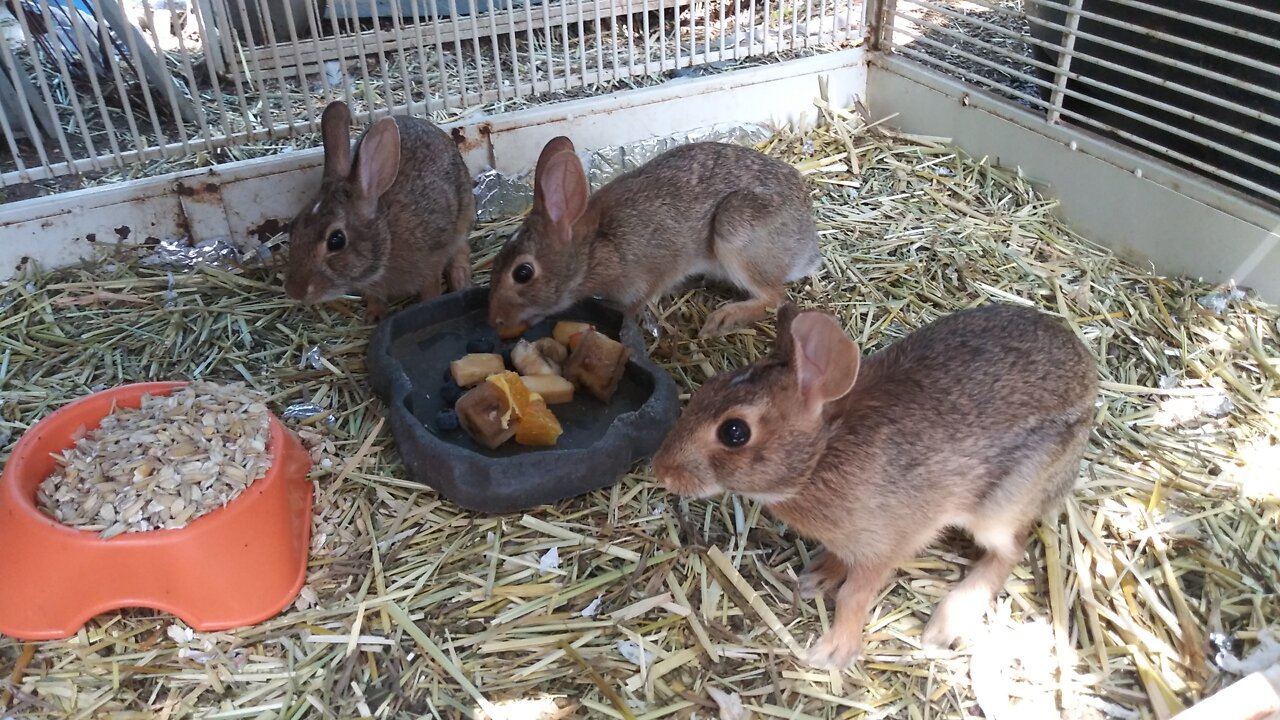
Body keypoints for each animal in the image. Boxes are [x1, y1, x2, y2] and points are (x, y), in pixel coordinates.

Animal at [285, 99, 476, 319]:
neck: (387, 237)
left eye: (336, 240)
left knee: (461, 249)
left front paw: (429, 305)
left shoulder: (432, 261)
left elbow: (431, 287)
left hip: (462, 219)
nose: (295, 291)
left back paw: (460, 280)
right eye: (293, 227)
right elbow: (376, 298)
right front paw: (373, 316)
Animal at [483, 135, 824, 338]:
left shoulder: (651, 273)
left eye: (523, 273)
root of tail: (807, 250)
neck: (594, 249)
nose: (495, 319)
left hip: (736, 231)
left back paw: (723, 319)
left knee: (774, 298)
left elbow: (639, 301)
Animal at [655, 298, 1095, 666]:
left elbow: (854, 596)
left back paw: (946, 623)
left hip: (1000, 506)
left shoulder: (883, 548)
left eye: (734, 432)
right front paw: (817, 578)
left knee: (1011, 550)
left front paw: (832, 653)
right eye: (708, 387)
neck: (820, 455)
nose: (662, 470)